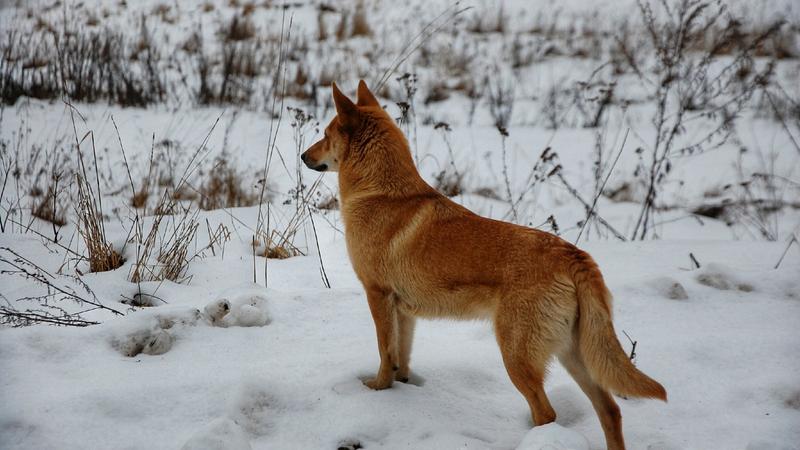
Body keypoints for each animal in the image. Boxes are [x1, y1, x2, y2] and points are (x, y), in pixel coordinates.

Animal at [300, 81, 664, 450]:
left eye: (325, 135)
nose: (303, 156)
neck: (381, 191)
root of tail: (573, 254)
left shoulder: (378, 295)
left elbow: (385, 354)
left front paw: (378, 390)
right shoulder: (404, 311)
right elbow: (402, 356)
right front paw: (402, 386)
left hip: (518, 357)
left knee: (547, 414)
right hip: (573, 354)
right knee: (610, 410)